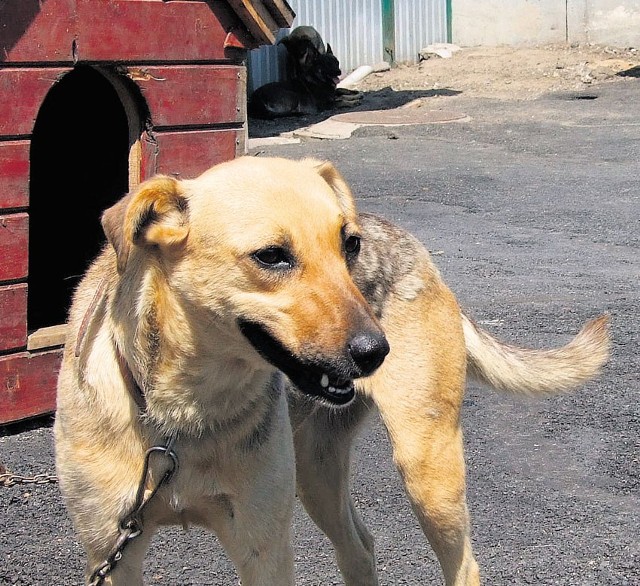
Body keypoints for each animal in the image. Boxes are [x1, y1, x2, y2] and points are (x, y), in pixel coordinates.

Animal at [52, 155, 608, 584]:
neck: (186, 417)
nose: (377, 350)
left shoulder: (263, 546)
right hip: (316, 475)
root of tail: (415, 247)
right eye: (271, 256)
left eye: (350, 246)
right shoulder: (111, 551)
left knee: (464, 565)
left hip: (427, 471)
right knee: (360, 548)